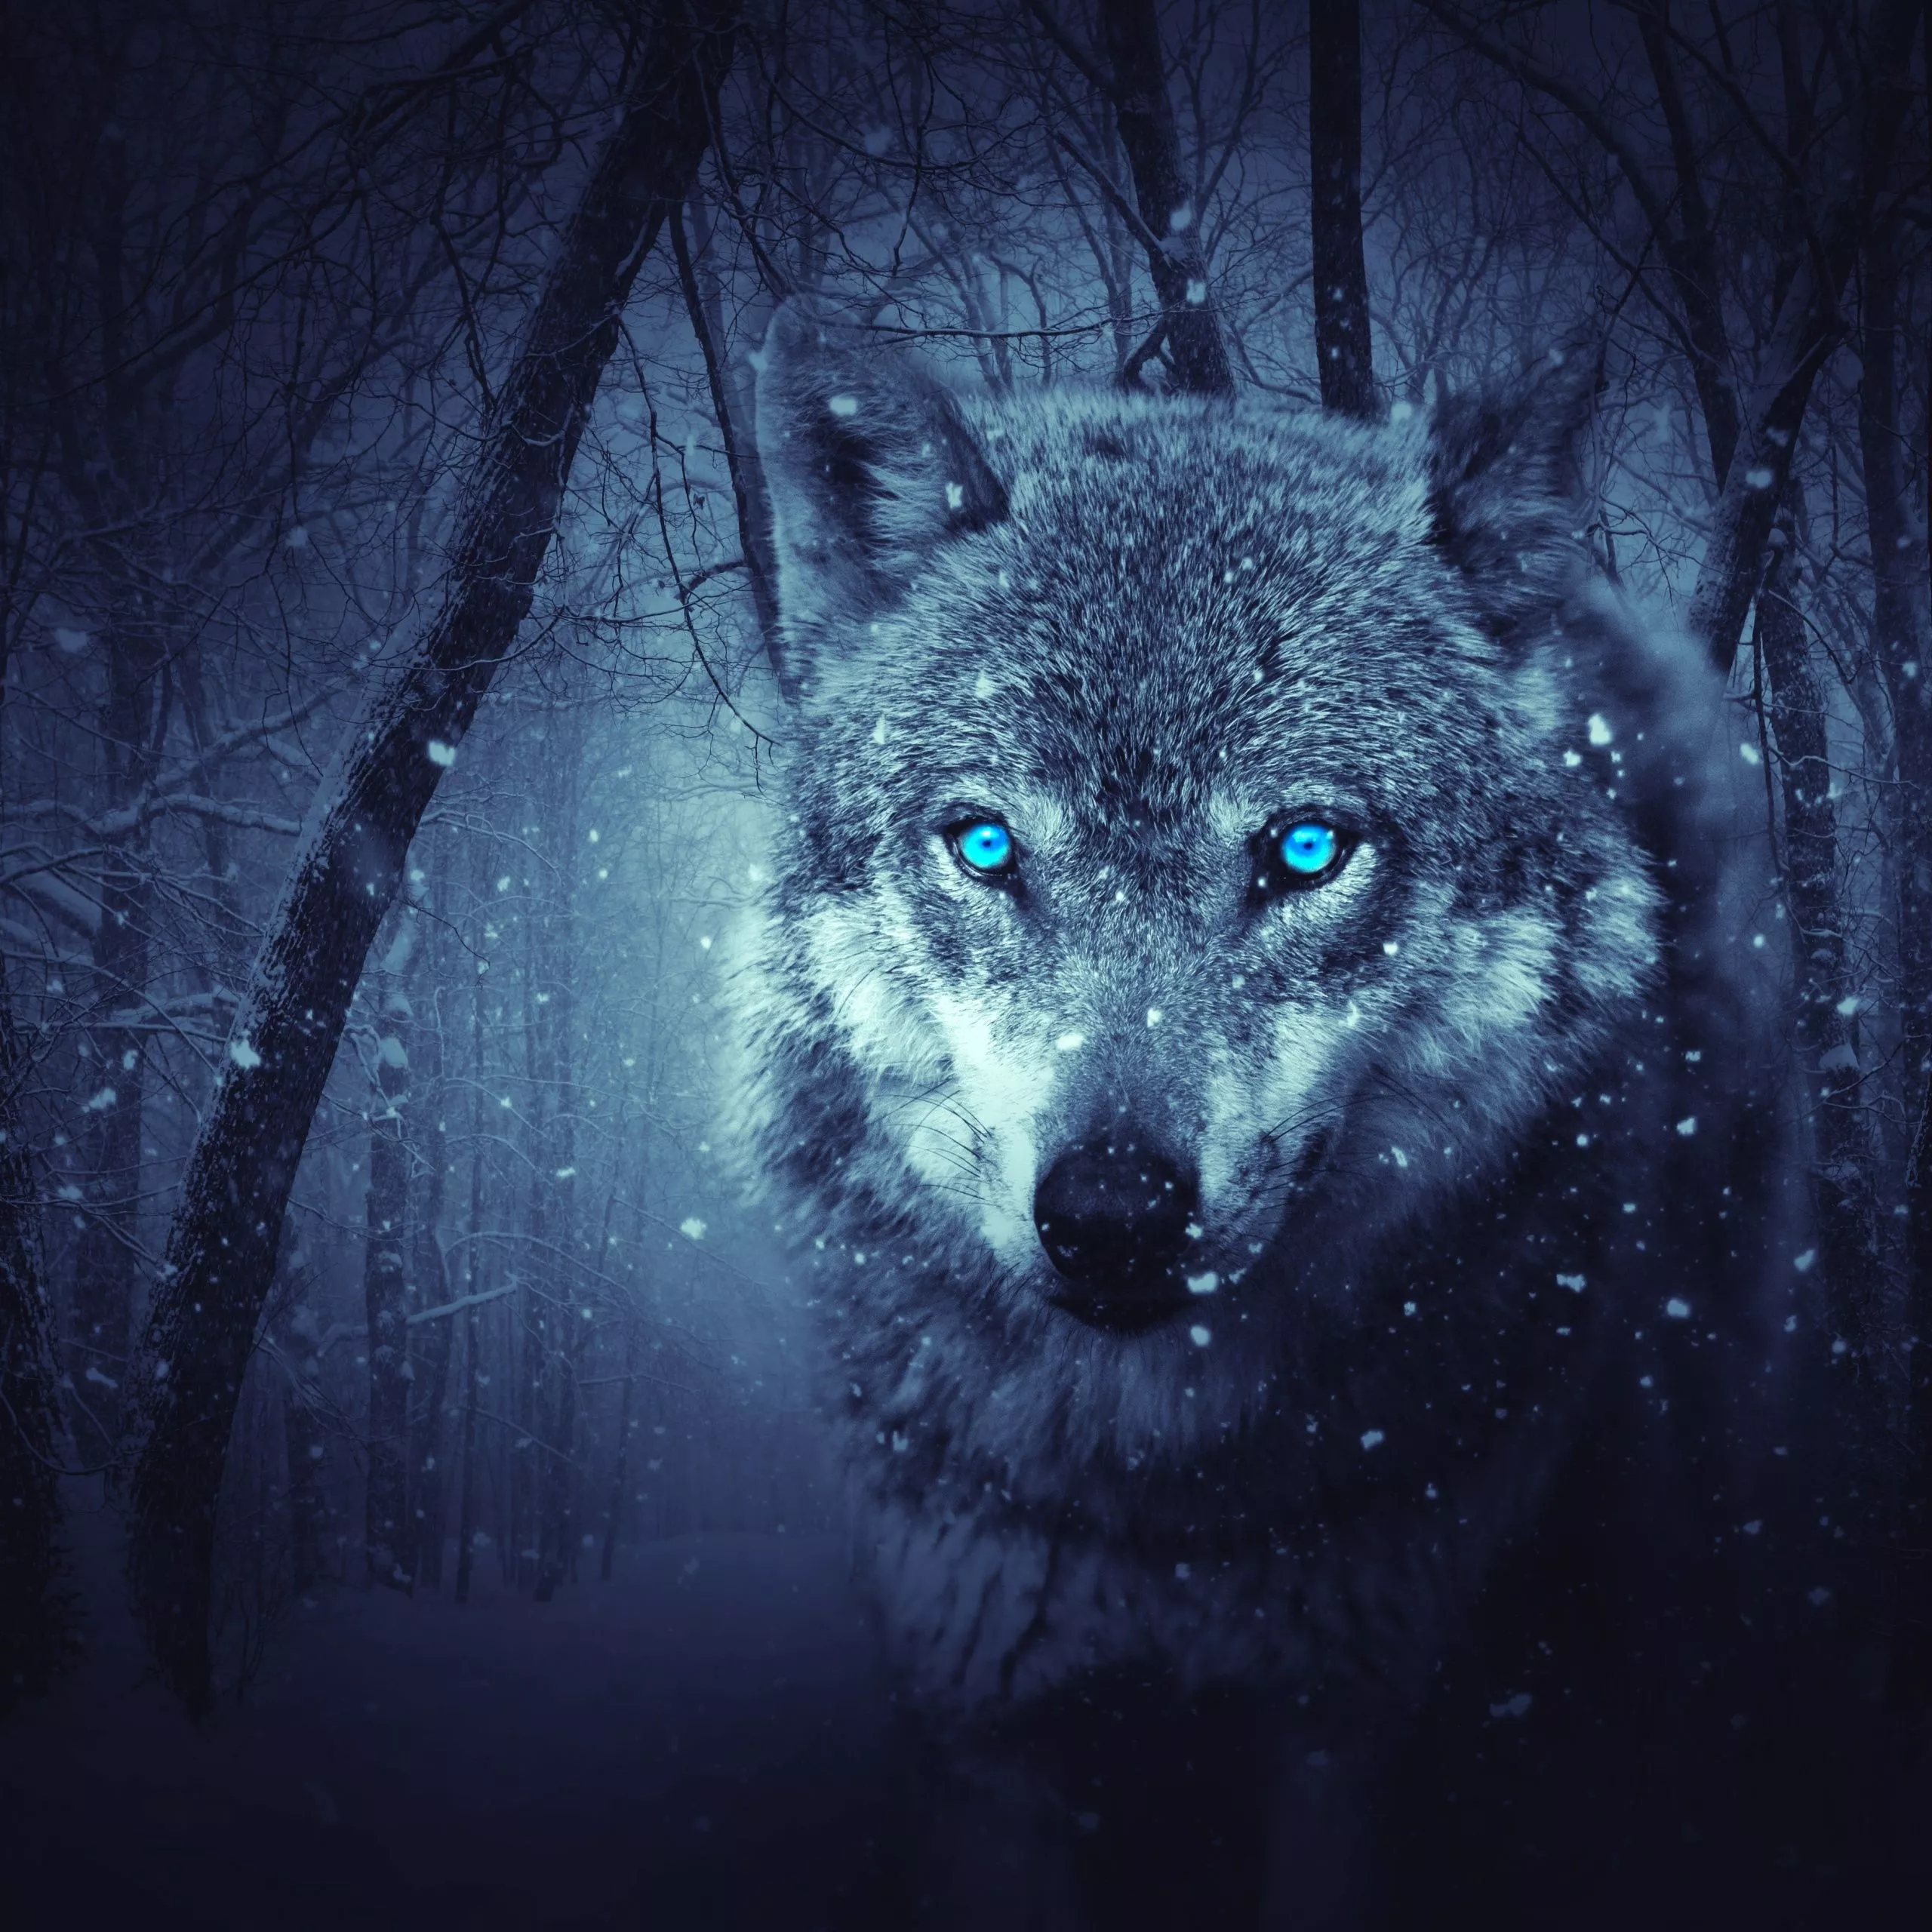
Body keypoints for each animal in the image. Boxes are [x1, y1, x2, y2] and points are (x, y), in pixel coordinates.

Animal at [728, 304, 1866, 1926]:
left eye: (1308, 849)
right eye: (988, 846)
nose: (1114, 1217)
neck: (1159, 1499)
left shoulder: (1358, 1731)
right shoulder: (986, 1728)